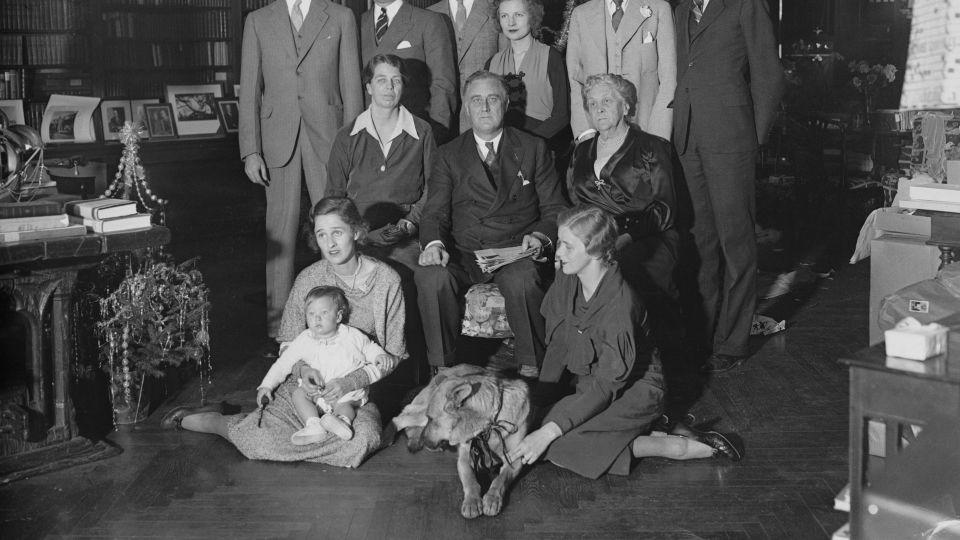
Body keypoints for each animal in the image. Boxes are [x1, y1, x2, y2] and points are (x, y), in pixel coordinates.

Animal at [384, 364, 532, 516]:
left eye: (432, 419)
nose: (423, 441)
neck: (488, 426)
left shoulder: (514, 460)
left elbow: (500, 480)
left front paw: (492, 498)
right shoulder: (464, 457)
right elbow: (470, 480)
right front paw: (472, 501)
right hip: (419, 416)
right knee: (399, 418)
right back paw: (388, 437)